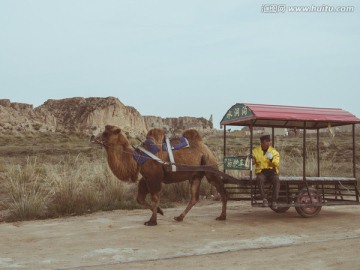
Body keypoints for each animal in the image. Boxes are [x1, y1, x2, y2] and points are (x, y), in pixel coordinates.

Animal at [90, 125, 226, 226]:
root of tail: (204, 146)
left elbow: (154, 198)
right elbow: (140, 199)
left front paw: (152, 221)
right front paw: (160, 211)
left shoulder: (154, 177)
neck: (137, 158)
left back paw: (222, 216)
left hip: (209, 164)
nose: (92, 137)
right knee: (194, 198)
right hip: (195, 175)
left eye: (106, 133)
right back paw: (179, 217)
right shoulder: (145, 178)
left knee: (221, 188)